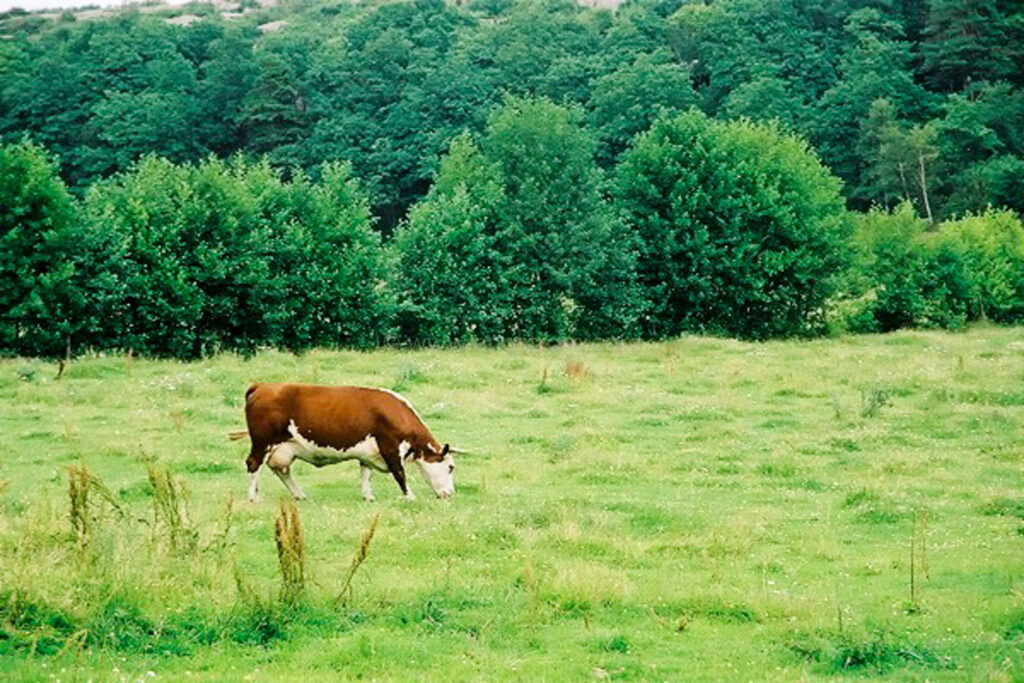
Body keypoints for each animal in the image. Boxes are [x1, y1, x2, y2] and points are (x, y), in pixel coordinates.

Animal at [241, 385, 454, 501]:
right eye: (451, 467)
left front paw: (368, 496)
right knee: (253, 464)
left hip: (283, 447)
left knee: (281, 469)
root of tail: (262, 386)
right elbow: (399, 474)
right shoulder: (390, 447)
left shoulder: (368, 452)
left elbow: (366, 473)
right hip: (261, 442)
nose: (451, 493)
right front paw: (409, 496)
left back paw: (299, 494)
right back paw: (253, 497)